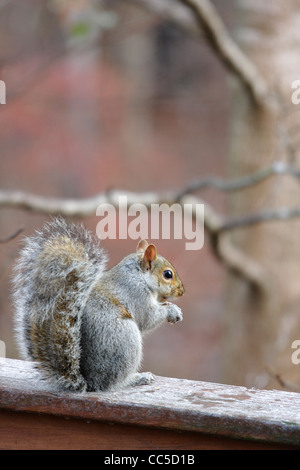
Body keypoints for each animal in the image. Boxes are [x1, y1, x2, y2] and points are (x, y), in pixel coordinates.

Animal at [12, 218, 184, 392]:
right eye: (167, 274)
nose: (181, 291)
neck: (138, 274)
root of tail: (90, 382)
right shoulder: (136, 294)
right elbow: (148, 318)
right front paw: (172, 310)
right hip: (125, 340)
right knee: (112, 383)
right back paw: (136, 378)